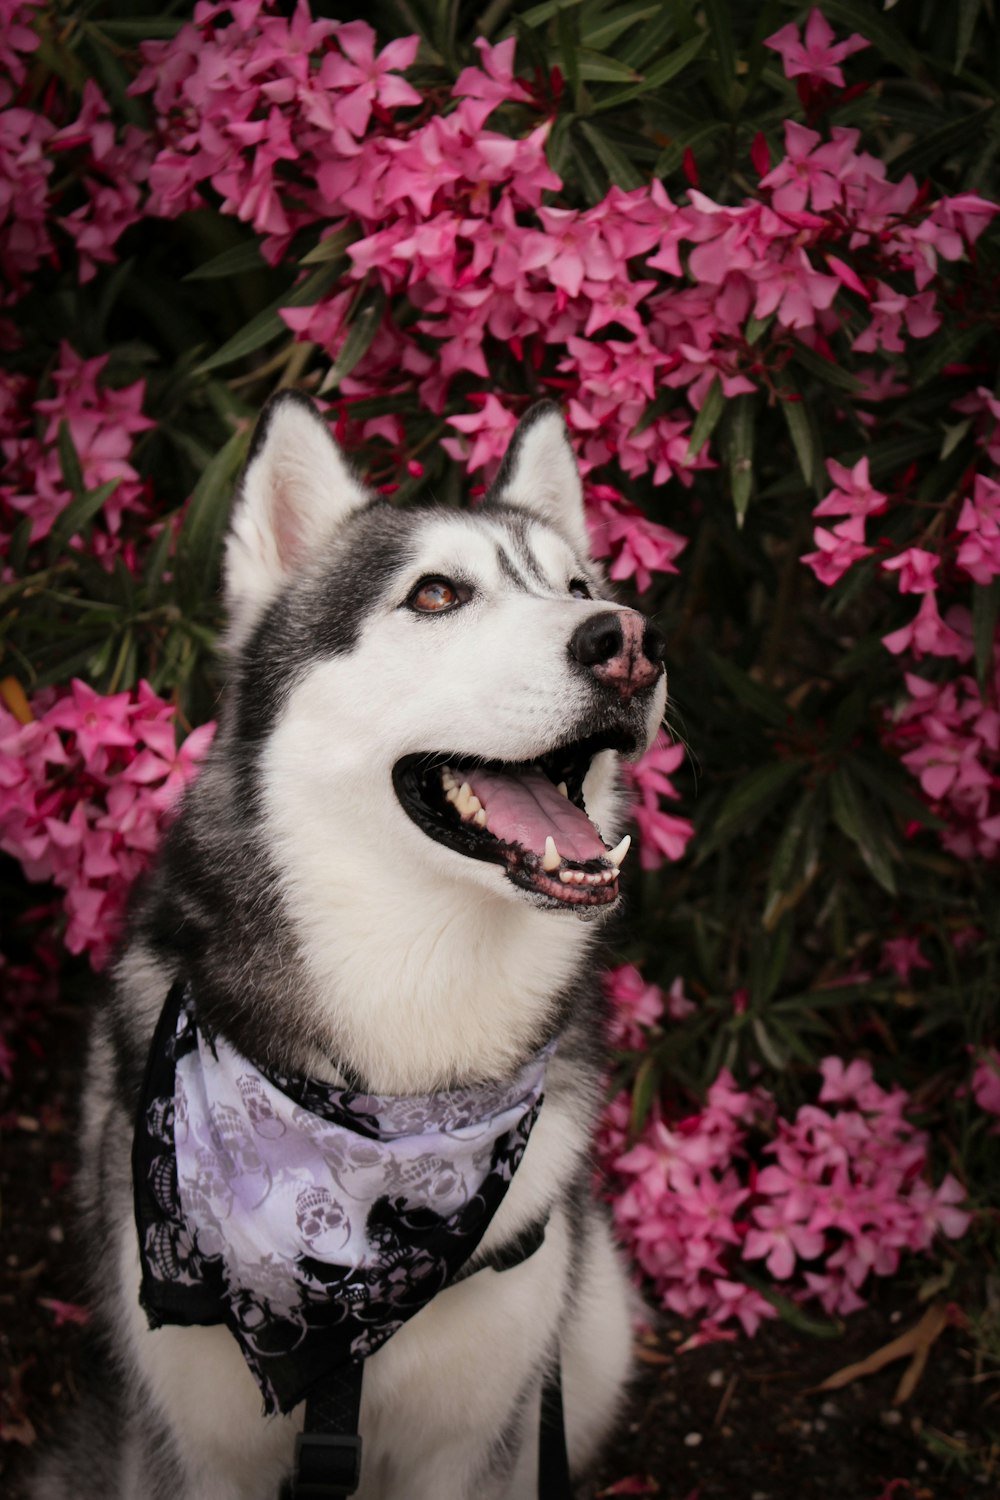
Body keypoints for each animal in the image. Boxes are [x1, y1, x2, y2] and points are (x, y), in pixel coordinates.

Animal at [35, 393, 668, 1494]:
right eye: (436, 594)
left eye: (580, 588)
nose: (628, 639)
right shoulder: (192, 1445)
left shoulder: (475, 1441)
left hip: (593, 1337)